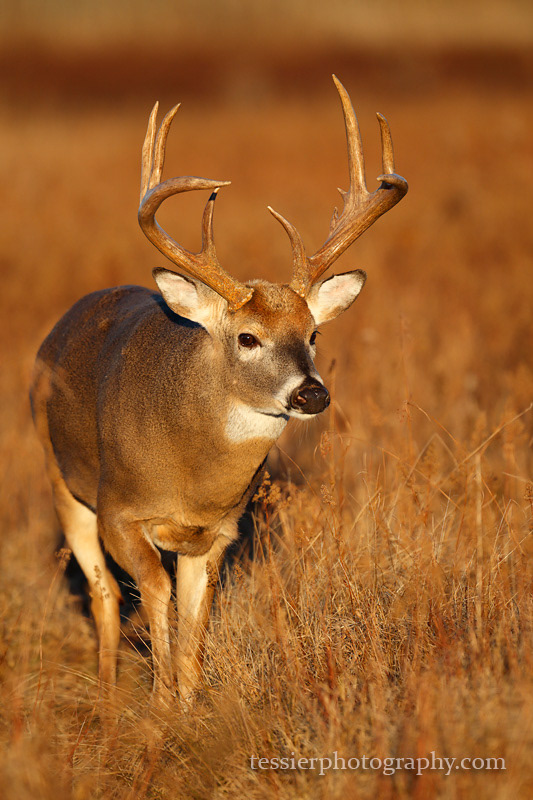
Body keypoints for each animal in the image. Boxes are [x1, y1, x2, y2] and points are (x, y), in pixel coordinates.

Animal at [31, 75, 406, 700]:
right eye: (247, 337)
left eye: (314, 332)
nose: (311, 394)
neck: (193, 476)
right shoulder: (119, 511)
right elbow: (154, 597)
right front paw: (158, 707)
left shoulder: (219, 533)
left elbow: (194, 622)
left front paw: (186, 703)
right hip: (62, 480)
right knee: (103, 595)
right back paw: (106, 700)